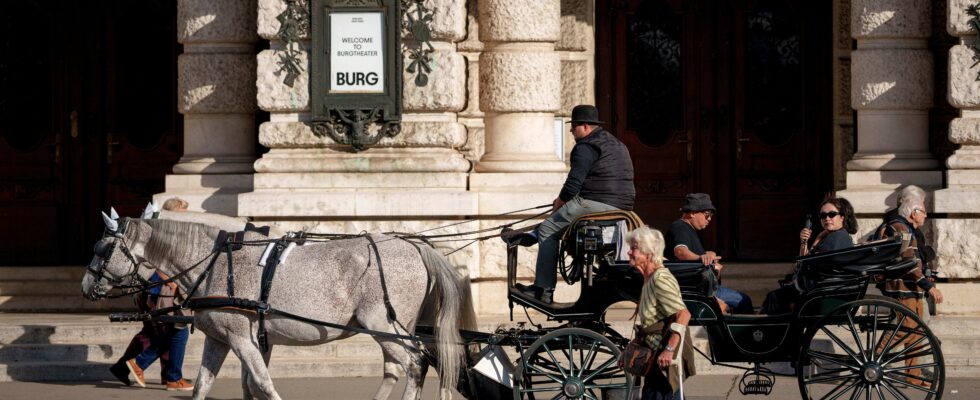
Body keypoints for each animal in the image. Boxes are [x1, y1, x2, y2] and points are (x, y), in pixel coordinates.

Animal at [81, 219, 474, 400]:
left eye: (102, 249)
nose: (85, 287)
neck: (215, 264)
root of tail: (415, 244)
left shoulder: (242, 339)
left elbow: (263, 384)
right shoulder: (223, 340)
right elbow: (210, 386)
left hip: (386, 326)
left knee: (416, 365)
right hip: (387, 330)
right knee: (402, 368)